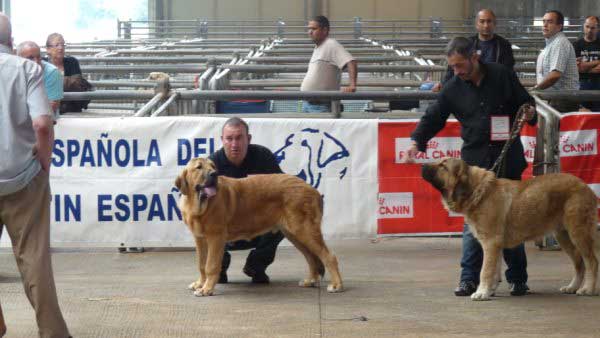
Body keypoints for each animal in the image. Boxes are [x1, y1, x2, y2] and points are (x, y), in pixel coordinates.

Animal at [175, 158, 342, 296]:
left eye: (213, 166)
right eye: (199, 167)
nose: (214, 174)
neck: (198, 204)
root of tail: (313, 189)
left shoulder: (216, 237)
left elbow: (211, 265)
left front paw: (207, 289)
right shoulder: (200, 239)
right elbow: (201, 264)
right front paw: (200, 284)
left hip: (304, 230)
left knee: (329, 256)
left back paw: (336, 285)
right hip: (294, 234)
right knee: (311, 257)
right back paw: (311, 280)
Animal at [420, 157, 596, 300]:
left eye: (443, 166)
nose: (421, 165)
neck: (476, 191)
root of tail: (585, 186)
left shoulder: (490, 242)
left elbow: (485, 270)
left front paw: (481, 292)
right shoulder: (495, 245)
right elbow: (494, 269)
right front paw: (490, 291)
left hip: (578, 232)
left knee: (591, 261)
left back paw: (587, 289)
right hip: (563, 235)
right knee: (579, 263)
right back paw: (573, 287)